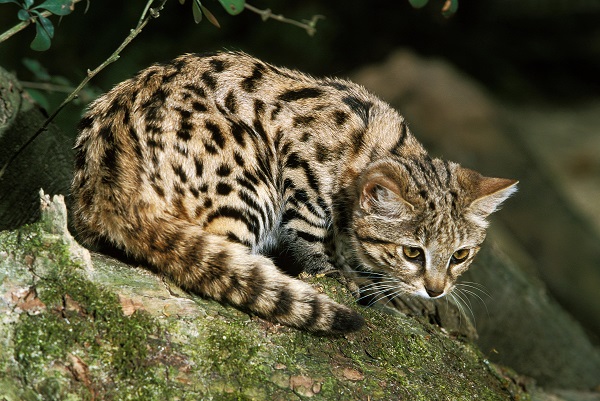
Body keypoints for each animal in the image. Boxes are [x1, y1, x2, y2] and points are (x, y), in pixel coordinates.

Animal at [71, 53, 516, 334]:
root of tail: (109, 180)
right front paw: (339, 272)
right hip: (252, 177)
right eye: (412, 252)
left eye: (460, 255)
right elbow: (313, 235)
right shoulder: (299, 169)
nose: (436, 290)